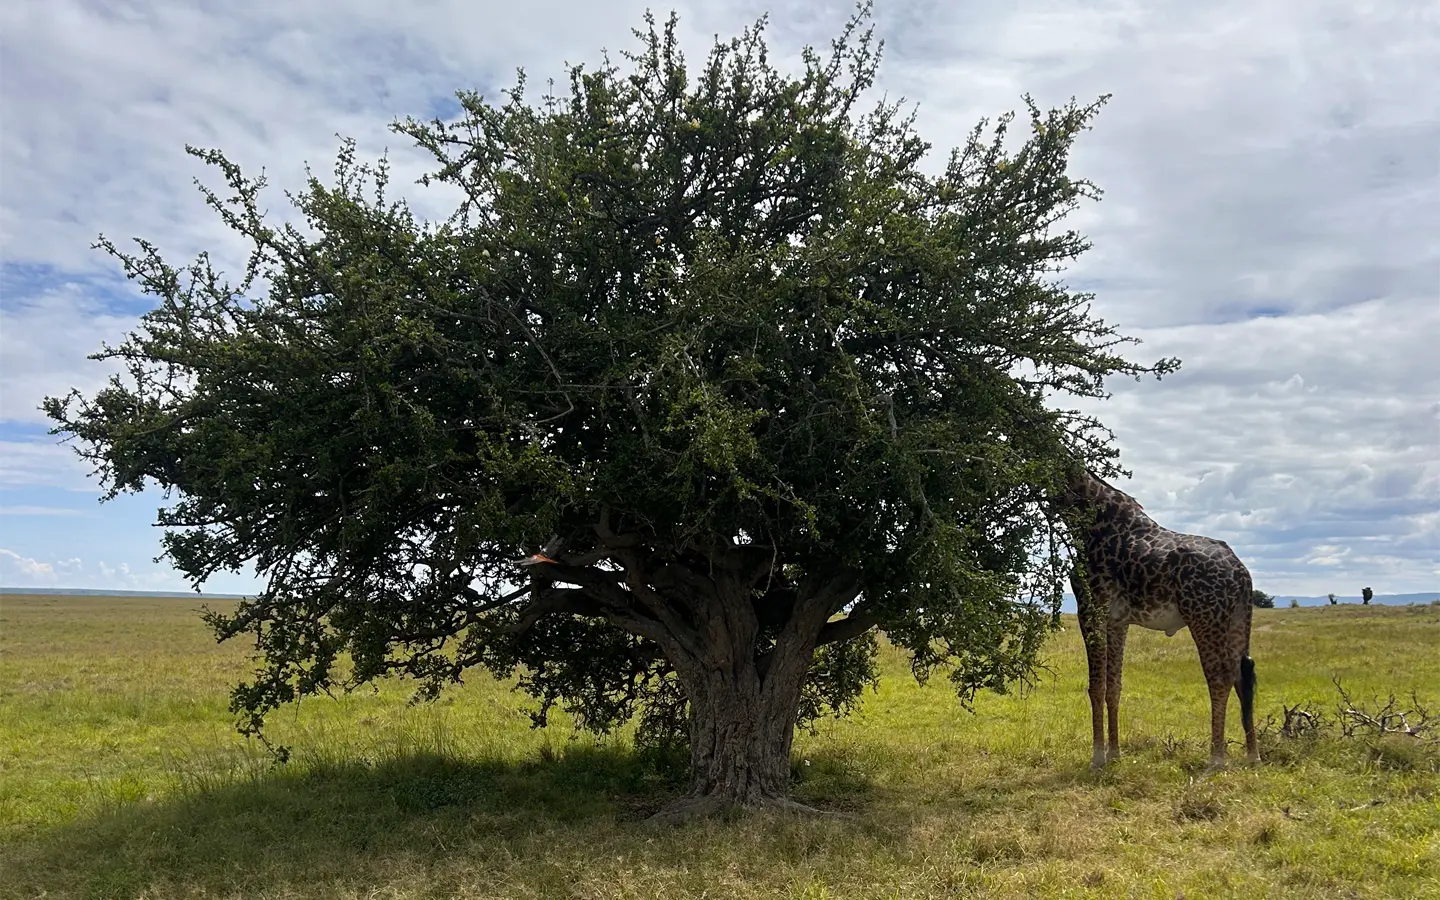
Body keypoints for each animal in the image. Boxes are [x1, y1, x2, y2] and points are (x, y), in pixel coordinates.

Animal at [1060, 467, 1259, 770]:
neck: (1090, 522)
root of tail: (1241, 572)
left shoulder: (1090, 608)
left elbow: (1095, 686)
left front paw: (1097, 758)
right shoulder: (1117, 621)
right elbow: (1113, 686)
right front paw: (1114, 753)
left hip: (1205, 617)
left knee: (1220, 676)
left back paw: (1216, 758)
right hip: (1238, 618)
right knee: (1243, 674)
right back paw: (1252, 755)